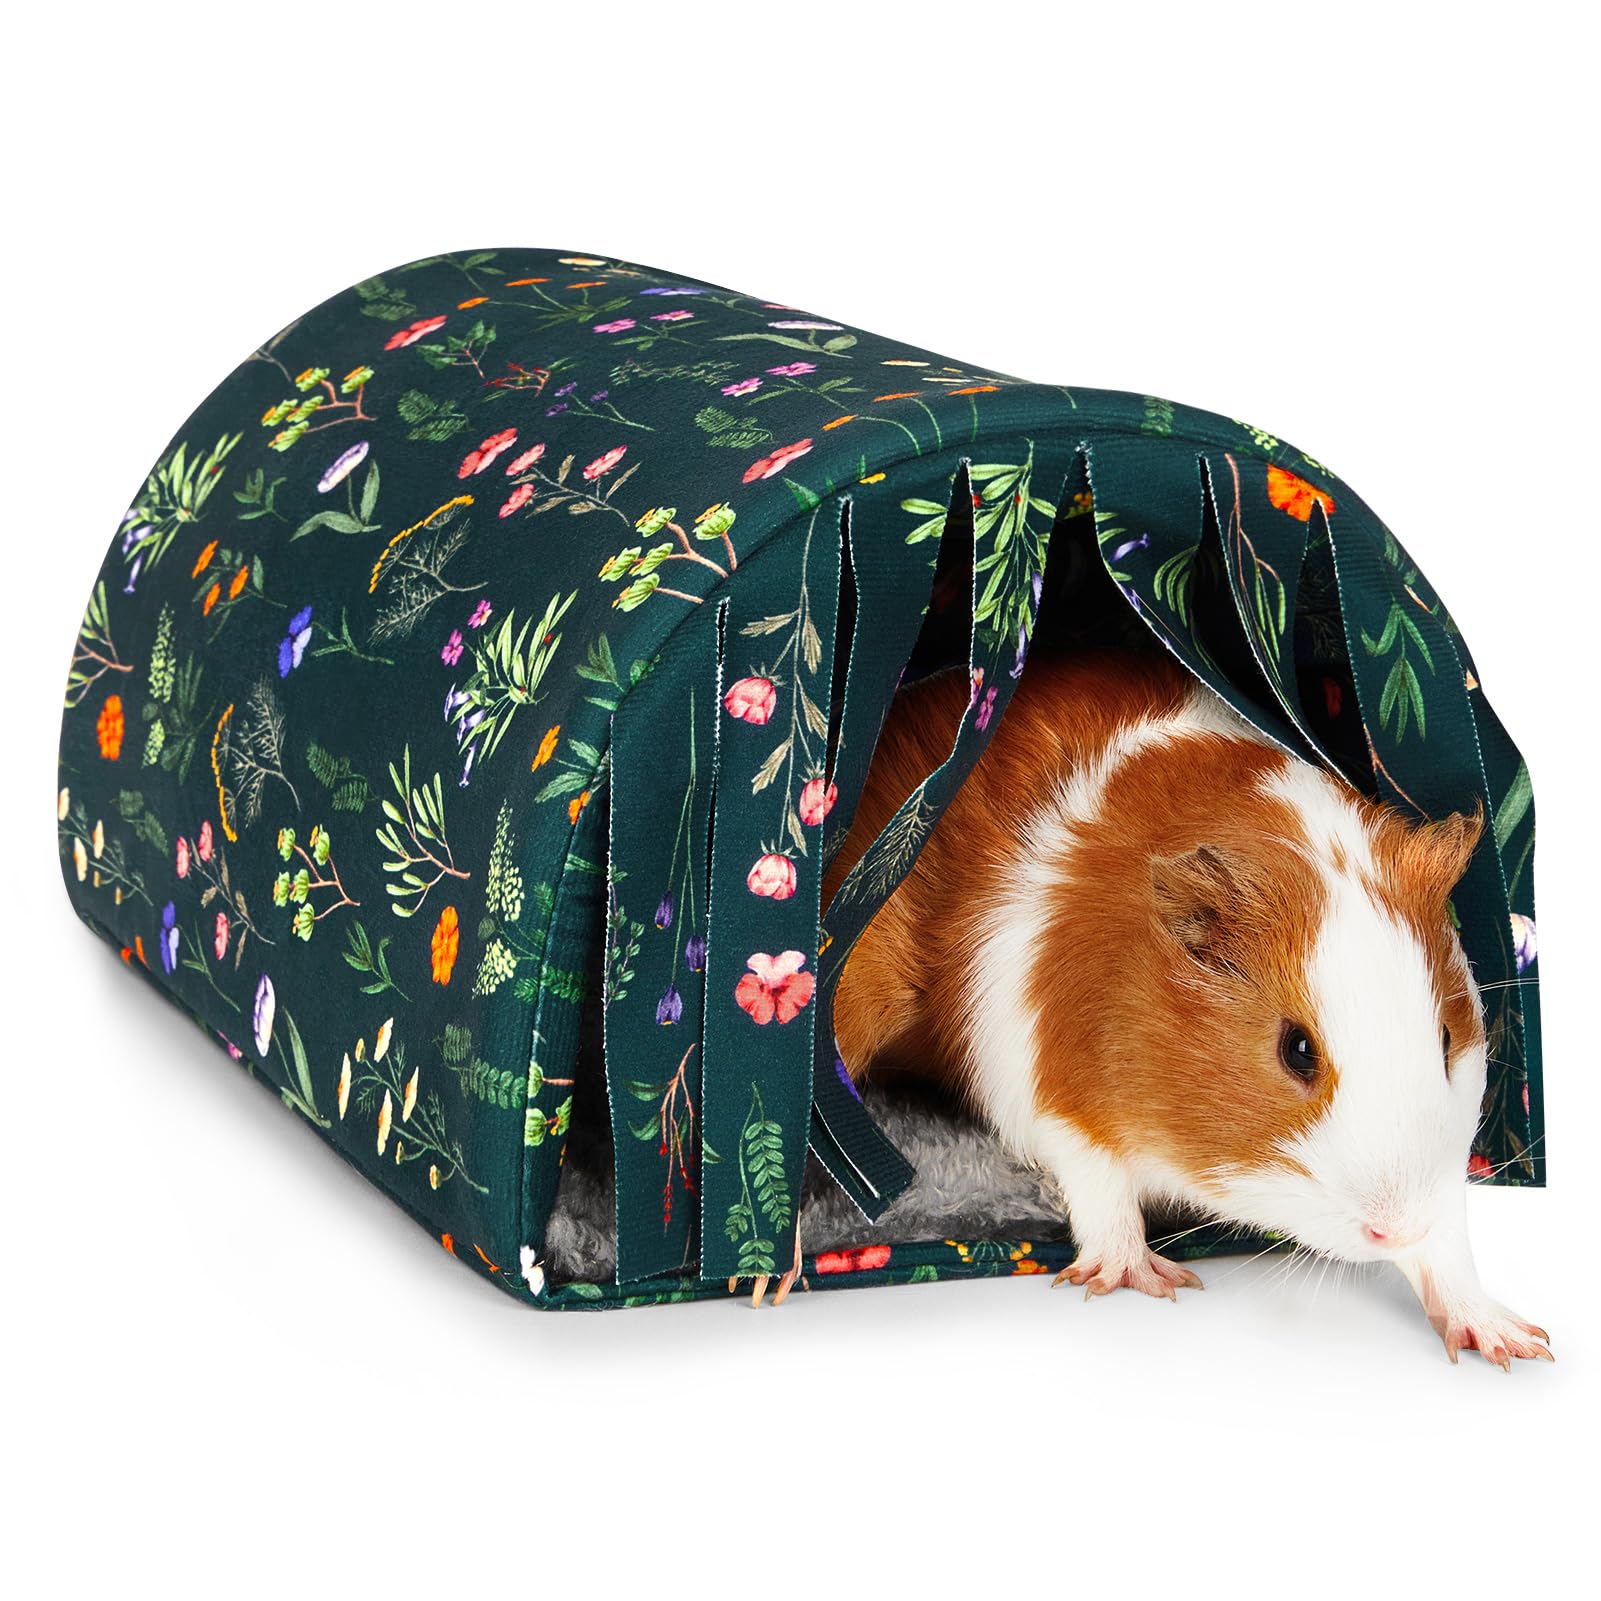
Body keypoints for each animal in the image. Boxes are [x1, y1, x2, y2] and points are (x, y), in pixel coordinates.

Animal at [825, 650, 1550, 1367]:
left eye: (1446, 1039)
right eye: (1296, 1050)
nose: (1392, 1227)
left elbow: (1447, 1248)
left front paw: (1510, 1341)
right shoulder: (1049, 1090)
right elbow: (1100, 1185)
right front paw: (1143, 1278)